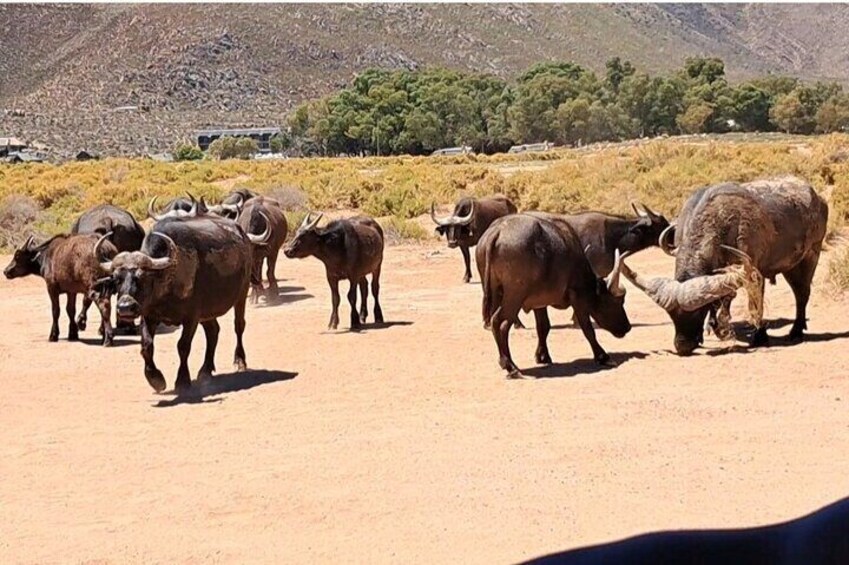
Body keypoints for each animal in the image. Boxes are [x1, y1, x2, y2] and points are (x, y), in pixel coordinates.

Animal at [96, 208, 269, 391]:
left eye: (141, 277)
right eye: (116, 279)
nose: (125, 307)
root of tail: (244, 238)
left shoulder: (191, 318)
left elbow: (183, 346)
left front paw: (182, 380)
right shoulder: (149, 316)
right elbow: (147, 345)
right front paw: (155, 379)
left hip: (241, 295)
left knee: (238, 326)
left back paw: (239, 360)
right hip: (208, 311)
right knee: (213, 331)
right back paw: (205, 371)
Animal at [476, 213, 631, 378]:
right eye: (618, 301)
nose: (627, 327)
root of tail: (497, 231)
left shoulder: (538, 302)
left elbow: (543, 327)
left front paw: (543, 356)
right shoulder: (577, 296)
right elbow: (587, 328)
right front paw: (602, 356)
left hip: (494, 293)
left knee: (496, 322)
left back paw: (505, 362)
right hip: (514, 297)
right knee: (500, 323)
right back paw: (510, 366)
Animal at [625, 176, 828, 355]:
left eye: (698, 312)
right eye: (671, 315)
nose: (683, 345)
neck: (721, 222)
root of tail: (819, 199)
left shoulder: (752, 271)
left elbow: (752, 304)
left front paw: (759, 336)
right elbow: (720, 299)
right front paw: (713, 326)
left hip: (810, 256)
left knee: (802, 293)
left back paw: (797, 330)